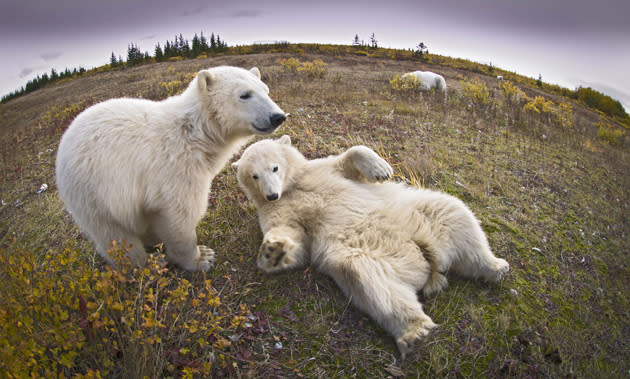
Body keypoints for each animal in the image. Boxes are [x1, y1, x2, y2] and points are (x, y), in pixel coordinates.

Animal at [55, 66, 288, 274]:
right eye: (244, 95)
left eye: (265, 89)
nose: (278, 116)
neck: (196, 133)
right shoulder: (174, 169)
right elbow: (180, 216)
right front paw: (201, 258)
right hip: (94, 194)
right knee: (116, 237)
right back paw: (148, 264)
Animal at [235, 137, 512, 360]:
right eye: (254, 176)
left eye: (274, 167)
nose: (271, 194)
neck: (293, 187)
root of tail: (430, 265)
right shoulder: (278, 211)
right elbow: (292, 236)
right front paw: (273, 251)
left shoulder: (322, 170)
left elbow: (348, 159)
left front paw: (381, 169)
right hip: (368, 255)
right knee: (371, 280)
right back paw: (415, 332)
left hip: (421, 213)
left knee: (455, 213)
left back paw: (495, 266)